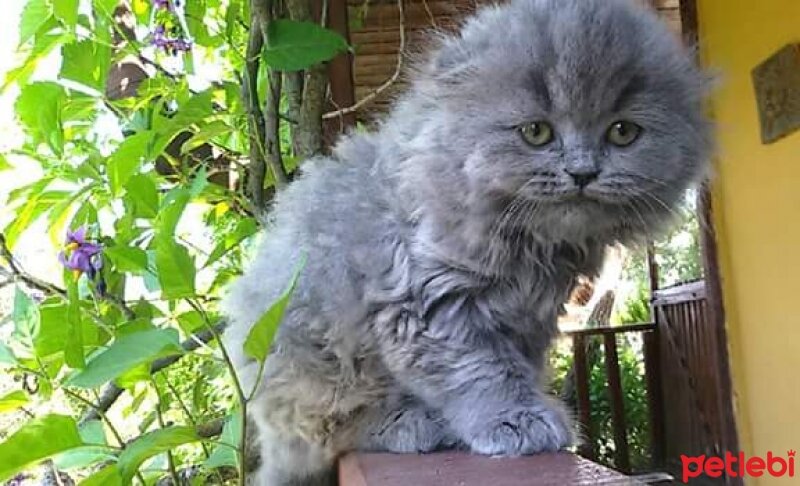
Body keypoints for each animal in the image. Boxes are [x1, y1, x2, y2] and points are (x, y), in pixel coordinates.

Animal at [222, 0, 708, 482]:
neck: (535, 246)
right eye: (537, 132)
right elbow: (480, 371)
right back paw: (414, 423)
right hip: (311, 360)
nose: (583, 172)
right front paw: (517, 420)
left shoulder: (531, 320)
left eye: (622, 133)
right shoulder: (425, 298)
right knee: (333, 429)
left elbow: (515, 367)